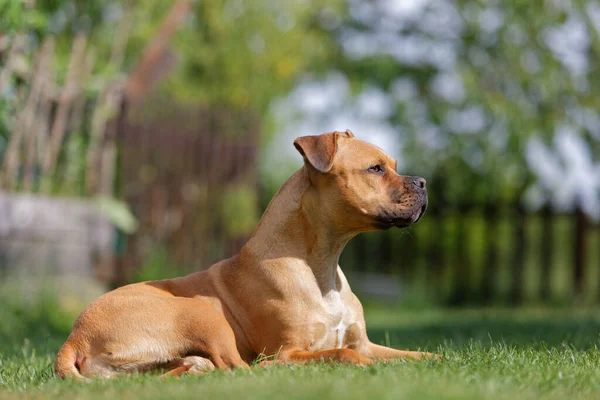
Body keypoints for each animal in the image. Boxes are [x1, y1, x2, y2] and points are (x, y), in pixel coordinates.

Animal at [55, 130, 432, 380]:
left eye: (393, 165)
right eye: (375, 169)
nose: (424, 182)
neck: (323, 265)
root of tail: (75, 337)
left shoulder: (365, 342)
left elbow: (416, 353)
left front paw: (435, 358)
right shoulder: (291, 349)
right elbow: (341, 352)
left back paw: (194, 367)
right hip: (200, 311)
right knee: (243, 368)